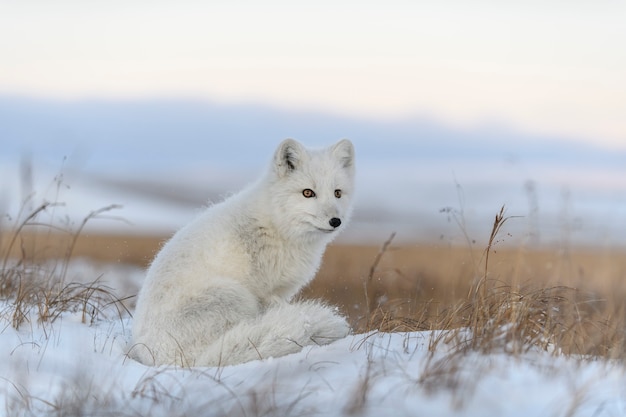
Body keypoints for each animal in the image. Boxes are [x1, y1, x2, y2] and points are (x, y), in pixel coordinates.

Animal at [130, 138, 356, 366]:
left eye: (337, 193)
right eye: (308, 193)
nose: (335, 221)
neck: (276, 226)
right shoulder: (266, 292)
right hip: (236, 295)